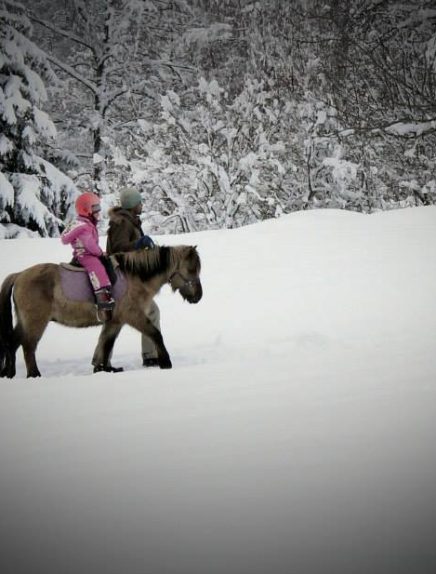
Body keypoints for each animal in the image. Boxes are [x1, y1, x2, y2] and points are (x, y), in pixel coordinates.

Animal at [0, 246, 202, 378]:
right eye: (192, 269)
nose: (198, 296)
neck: (133, 277)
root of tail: (19, 275)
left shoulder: (115, 321)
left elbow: (106, 343)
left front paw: (103, 368)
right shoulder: (133, 315)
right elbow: (155, 334)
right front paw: (166, 362)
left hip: (24, 322)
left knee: (12, 343)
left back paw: (8, 372)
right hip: (35, 322)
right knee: (28, 347)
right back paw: (34, 374)